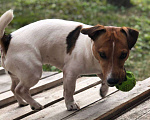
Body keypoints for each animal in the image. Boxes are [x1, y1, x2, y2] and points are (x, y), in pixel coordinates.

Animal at [0, 10, 139, 110]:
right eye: (102, 54)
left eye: (124, 54)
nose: (114, 81)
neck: (90, 49)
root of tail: (8, 39)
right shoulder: (70, 72)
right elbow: (69, 90)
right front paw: (70, 104)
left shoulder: (104, 70)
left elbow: (104, 79)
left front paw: (104, 90)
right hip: (33, 73)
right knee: (20, 89)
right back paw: (35, 104)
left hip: (17, 74)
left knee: (13, 88)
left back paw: (22, 102)